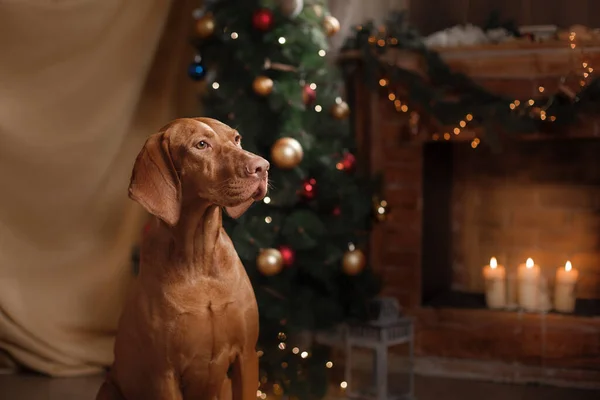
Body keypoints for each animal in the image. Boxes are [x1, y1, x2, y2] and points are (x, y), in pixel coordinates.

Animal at [95, 117, 268, 398]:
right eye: (201, 145)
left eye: (237, 139)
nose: (263, 166)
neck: (200, 259)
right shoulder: (164, 374)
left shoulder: (247, 356)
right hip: (109, 390)